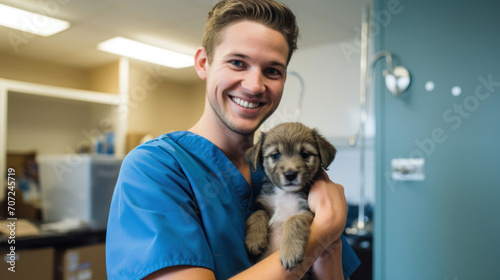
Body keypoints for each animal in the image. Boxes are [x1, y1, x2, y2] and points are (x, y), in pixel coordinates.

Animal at [245, 122, 336, 276]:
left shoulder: (306, 208)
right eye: (275, 155)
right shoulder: (265, 203)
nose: (290, 175)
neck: (285, 193)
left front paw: (290, 252)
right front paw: (254, 239)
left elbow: (293, 220)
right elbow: (257, 213)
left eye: (305, 154)